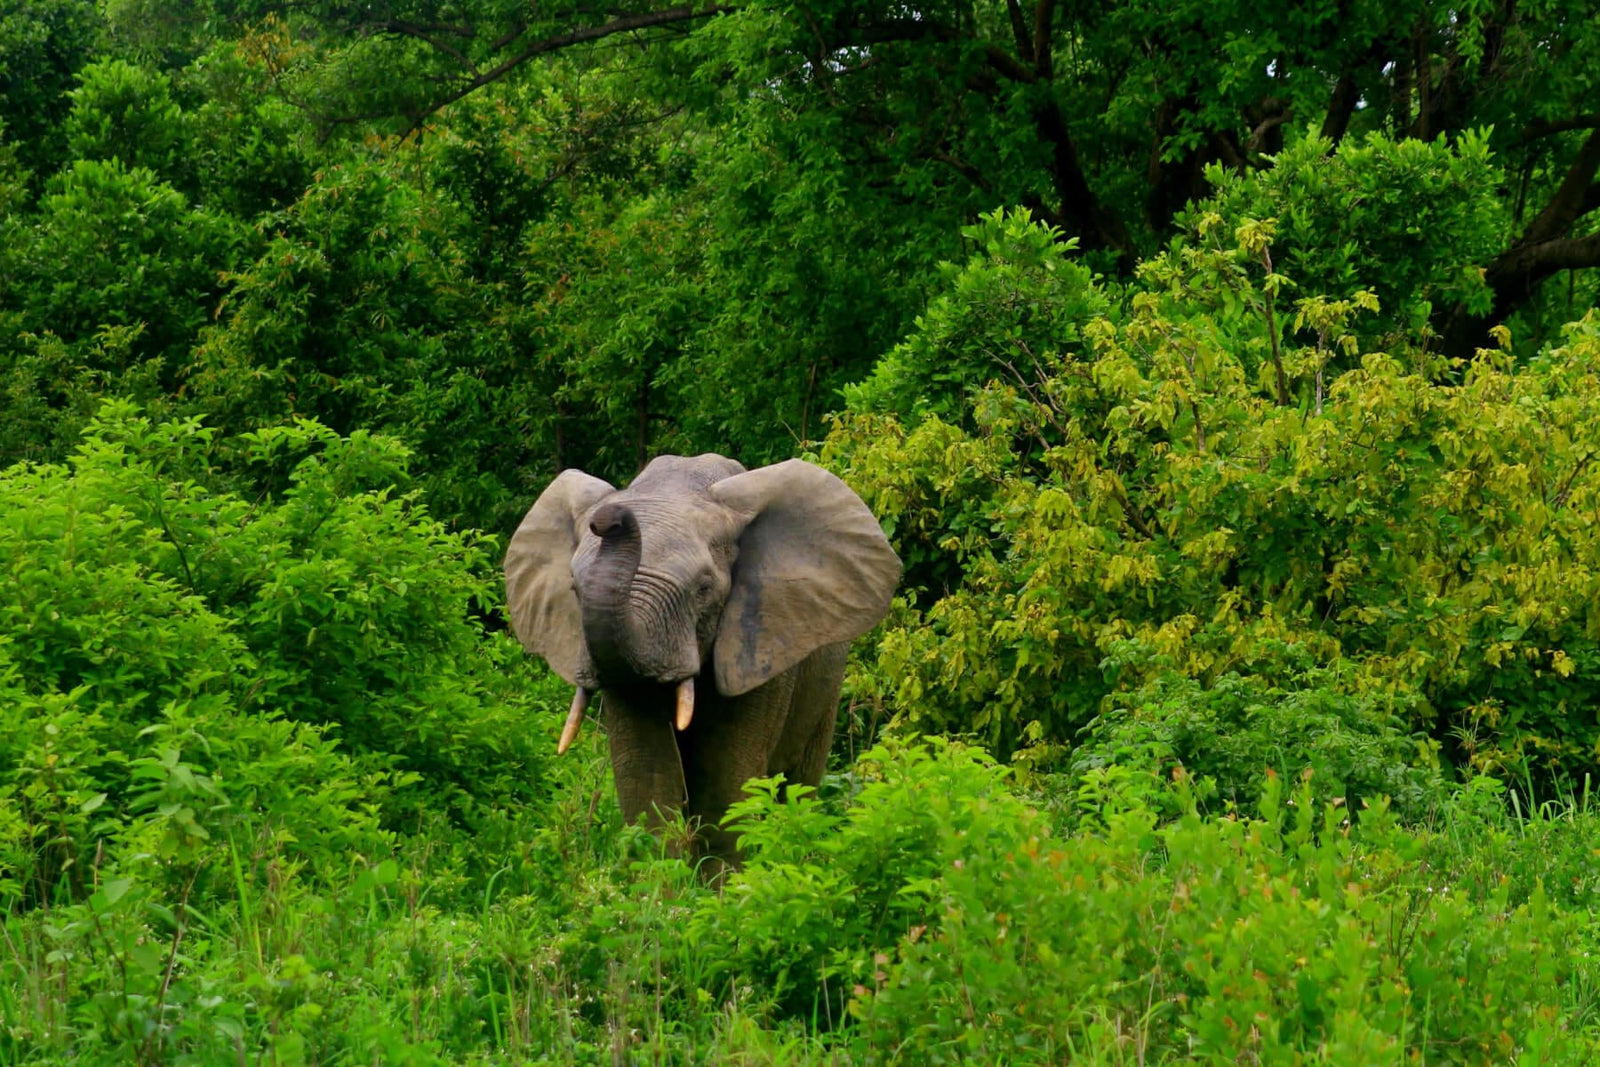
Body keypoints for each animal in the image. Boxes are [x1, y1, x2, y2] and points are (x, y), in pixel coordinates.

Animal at [502, 454, 902, 870]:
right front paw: (659, 885)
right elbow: (648, 775)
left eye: (704, 589)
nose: (609, 519)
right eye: (574, 590)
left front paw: (725, 886)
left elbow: (724, 781)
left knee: (798, 784)